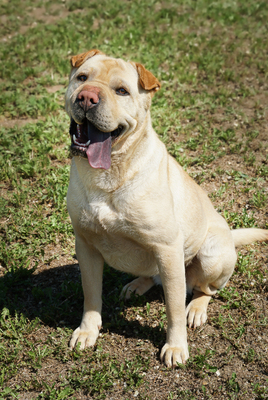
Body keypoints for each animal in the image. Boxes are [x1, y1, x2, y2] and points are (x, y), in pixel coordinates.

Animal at [65, 50, 268, 368]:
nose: (87, 97)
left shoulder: (168, 249)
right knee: (154, 275)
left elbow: (173, 308)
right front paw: (88, 331)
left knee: (206, 289)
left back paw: (196, 308)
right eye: (82, 78)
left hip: (210, 254)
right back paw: (138, 284)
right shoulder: (85, 245)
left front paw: (175, 346)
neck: (108, 177)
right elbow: (91, 295)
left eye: (122, 91)